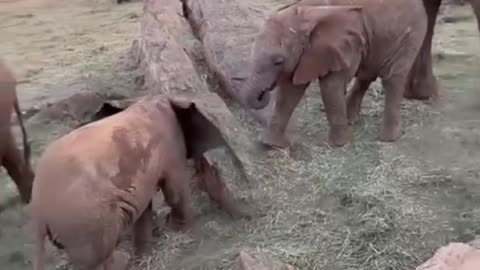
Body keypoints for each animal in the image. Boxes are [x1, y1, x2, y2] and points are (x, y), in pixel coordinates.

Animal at [29, 95, 230, 270]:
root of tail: (38, 210)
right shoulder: (171, 148)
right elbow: (175, 190)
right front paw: (184, 230)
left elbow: (144, 207)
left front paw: (145, 254)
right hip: (84, 221)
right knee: (99, 256)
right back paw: (123, 262)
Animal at [244, 0, 428, 148]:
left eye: (278, 61)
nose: (264, 92)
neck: (306, 10)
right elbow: (290, 91)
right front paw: (272, 145)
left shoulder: (342, 44)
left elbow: (330, 86)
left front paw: (341, 145)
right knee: (366, 75)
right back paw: (351, 120)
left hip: (411, 34)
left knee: (392, 78)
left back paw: (388, 139)